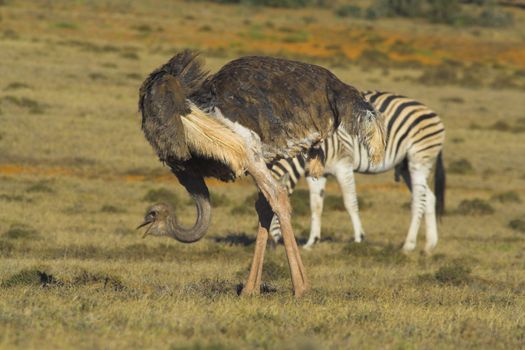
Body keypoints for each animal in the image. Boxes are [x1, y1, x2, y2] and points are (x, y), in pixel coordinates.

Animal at [270, 90, 446, 253]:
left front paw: (359, 239)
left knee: (419, 200)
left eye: (271, 212)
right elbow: (316, 206)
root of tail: (431, 112)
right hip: (405, 166)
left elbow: (350, 202)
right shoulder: (316, 174)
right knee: (429, 197)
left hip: (419, 159)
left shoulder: (343, 165)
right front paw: (311, 242)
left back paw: (408, 245)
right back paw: (429, 245)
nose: (272, 245)